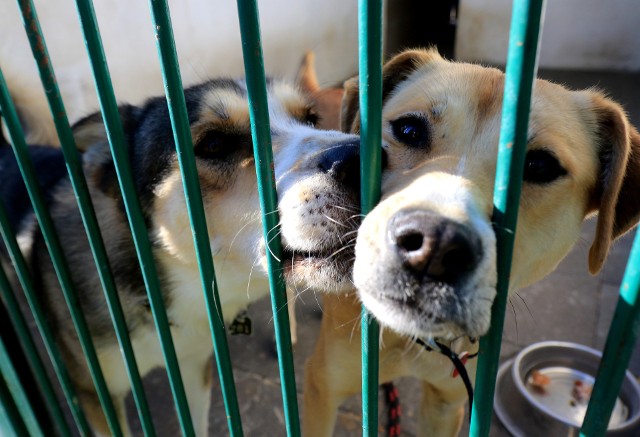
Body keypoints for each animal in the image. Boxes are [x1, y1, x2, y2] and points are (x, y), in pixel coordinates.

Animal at [302, 49, 640, 434]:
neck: (410, 339)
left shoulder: (446, 406)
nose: (435, 245)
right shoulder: (322, 388)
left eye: (540, 165)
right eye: (409, 129)